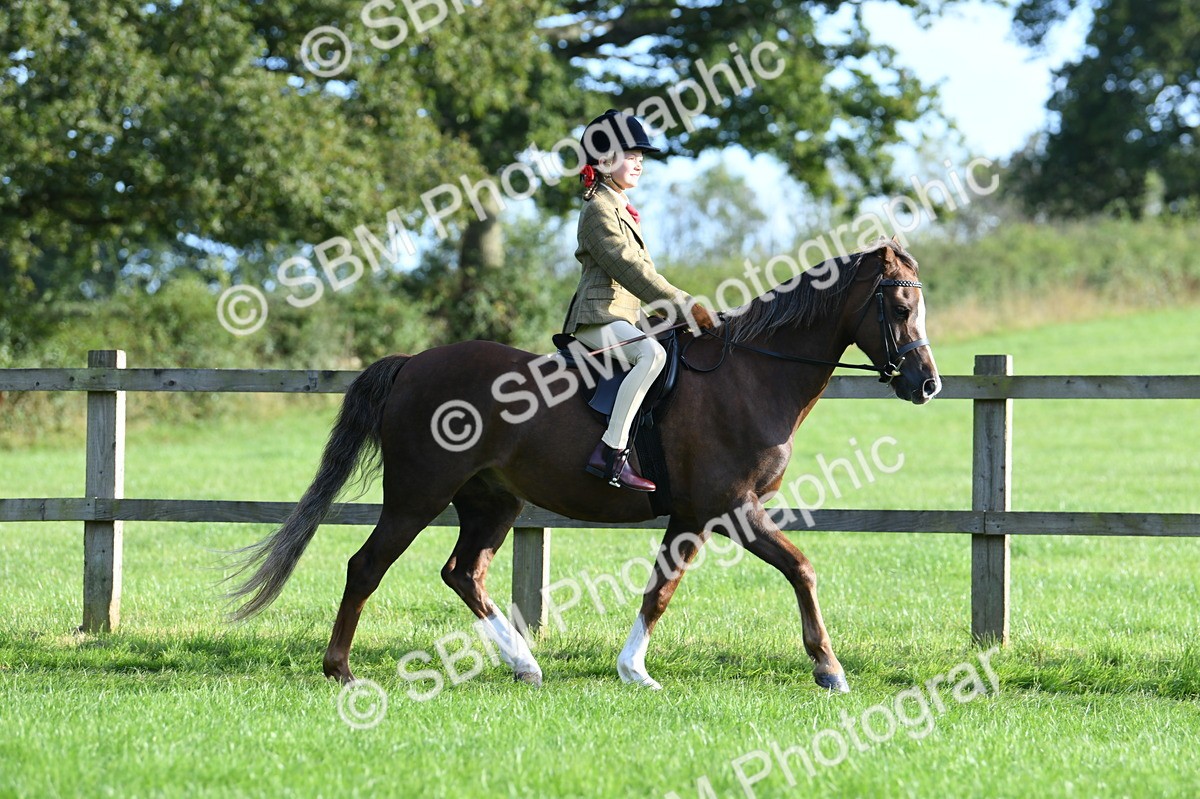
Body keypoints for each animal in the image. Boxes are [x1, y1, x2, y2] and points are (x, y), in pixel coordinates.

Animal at [228, 236, 940, 693]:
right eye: (901, 308)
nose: (928, 385)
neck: (750, 375)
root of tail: (412, 365)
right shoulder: (729, 508)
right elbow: (800, 568)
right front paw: (829, 669)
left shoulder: (692, 514)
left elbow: (659, 590)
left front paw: (634, 671)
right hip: (417, 496)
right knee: (367, 567)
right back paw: (341, 671)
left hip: (492, 500)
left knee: (464, 573)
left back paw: (524, 666)